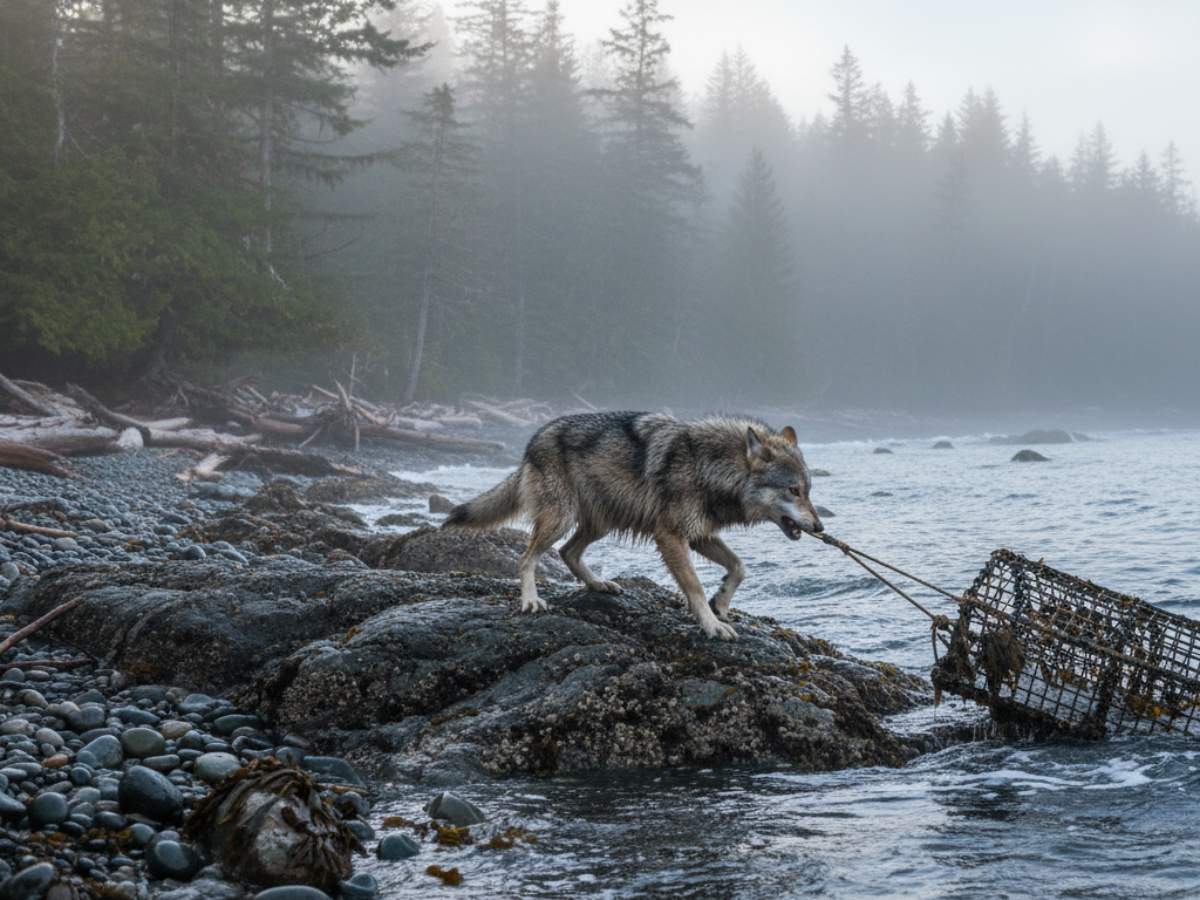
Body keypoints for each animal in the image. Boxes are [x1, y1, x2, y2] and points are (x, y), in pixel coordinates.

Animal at [442, 411, 823, 640]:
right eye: (793, 490)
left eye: (808, 490)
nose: (819, 527)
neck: (709, 467)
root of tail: (532, 440)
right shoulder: (670, 536)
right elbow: (695, 588)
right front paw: (711, 624)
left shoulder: (699, 534)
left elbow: (740, 567)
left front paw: (722, 603)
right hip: (561, 519)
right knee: (527, 558)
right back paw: (532, 601)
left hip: (600, 523)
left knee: (567, 553)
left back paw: (598, 584)